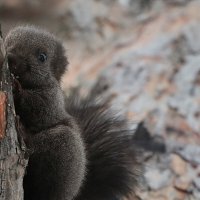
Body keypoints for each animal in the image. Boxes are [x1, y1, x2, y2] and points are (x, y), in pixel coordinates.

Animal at [3, 26, 140, 200]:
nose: (11, 58)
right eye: (8, 41)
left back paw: (24, 133)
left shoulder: (53, 100)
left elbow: (39, 109)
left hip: (64, 146)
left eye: (42, 57)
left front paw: (16, 88)